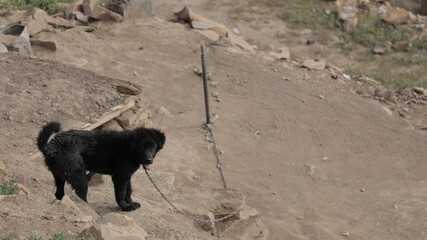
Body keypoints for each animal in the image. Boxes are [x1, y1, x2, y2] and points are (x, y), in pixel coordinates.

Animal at [36, 123, 166, 211]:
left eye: (153, 147)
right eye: (142, 147)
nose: (149, 160)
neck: (130, 148)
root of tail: (50, 147)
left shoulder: (126, 174)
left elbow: (128, 191)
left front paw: (131, 203)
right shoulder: (120, 176)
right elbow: (120, 194)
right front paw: (125, 207)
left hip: (59, 174)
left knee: (59, 193)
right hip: (79, 175)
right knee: (81, 194)